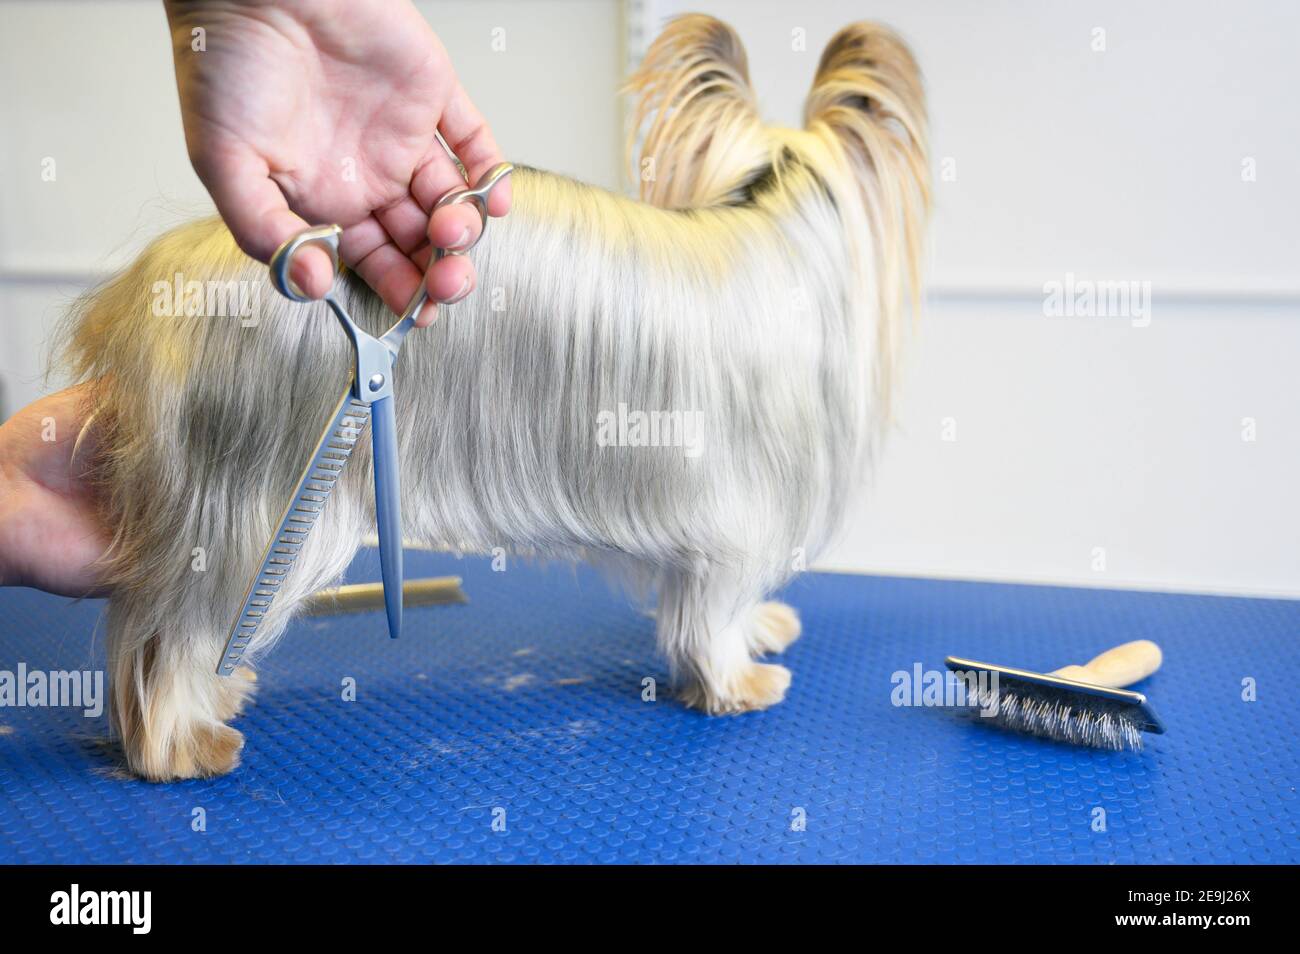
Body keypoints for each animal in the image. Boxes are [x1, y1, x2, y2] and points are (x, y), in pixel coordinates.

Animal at [58, 16, 925, 785]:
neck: (776, 223)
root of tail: (151, 291)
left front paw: (763, 630)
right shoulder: (733, 516)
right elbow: (711, 613)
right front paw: (737, 681)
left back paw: (221, 691)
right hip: (261, 495)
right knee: (171, 636)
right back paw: (182, 748)